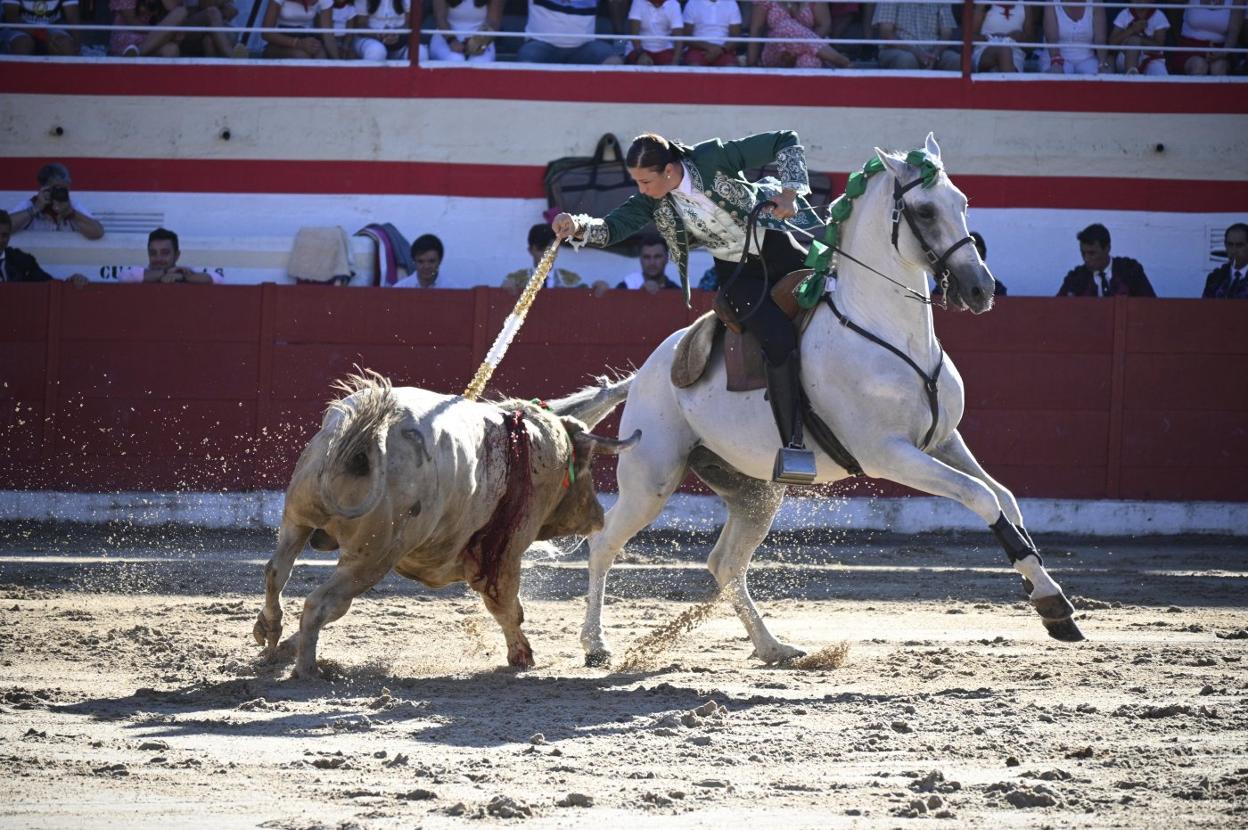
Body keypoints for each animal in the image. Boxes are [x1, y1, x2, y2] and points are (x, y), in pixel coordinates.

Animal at [257, 371, 638, 678]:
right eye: (589, 465)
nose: (598, 516)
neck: (528, 442)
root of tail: (370, 431)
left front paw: (284, 647)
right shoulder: (506, 552)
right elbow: (507, 606)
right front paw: (522, 656)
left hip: (298, 518)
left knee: (279, 571)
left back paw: (270, 632)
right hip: (372, 556)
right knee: (320, 603)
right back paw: (308, 669)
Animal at [584, 136, 1083, 668]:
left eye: (963, 202)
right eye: (924, 211)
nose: (980, 288)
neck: (890, 331)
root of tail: (646, 373)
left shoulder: (944, 440)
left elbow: (1005, 498)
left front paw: (1051, 603)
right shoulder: (890, 453)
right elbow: (980, 496)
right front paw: (1053, 602)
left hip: (755, 491)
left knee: (725, 563)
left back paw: (774, 647)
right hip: (650, 479)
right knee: (604, 542)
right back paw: (596, 646)